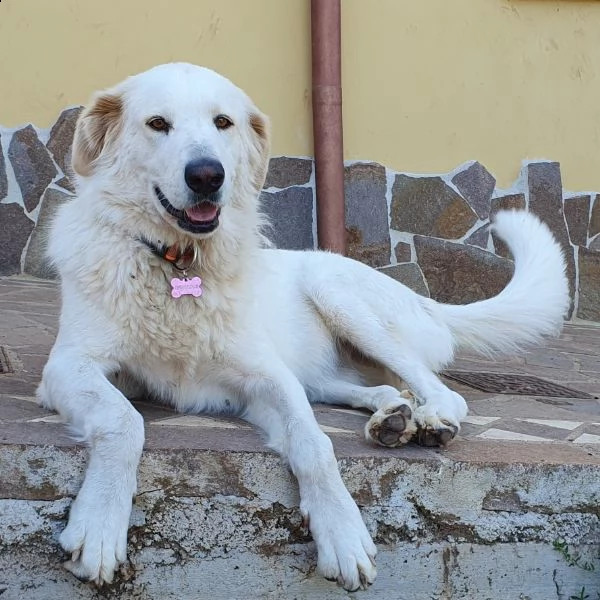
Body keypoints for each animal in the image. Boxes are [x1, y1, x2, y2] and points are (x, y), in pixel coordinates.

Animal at [38, 62, 568, 592]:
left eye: (223, 123)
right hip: (322, 365)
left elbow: (316, 443)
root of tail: (427, 300)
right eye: (157, 124)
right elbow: (123, 419)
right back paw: (393, 418)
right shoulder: (67, 366)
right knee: (375, 388)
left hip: (335, 292)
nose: (208, 174)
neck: (179, 265)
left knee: (443, 391)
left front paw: (343, 532)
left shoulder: (268, 378)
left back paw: (431, 419)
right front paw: (101, 523)